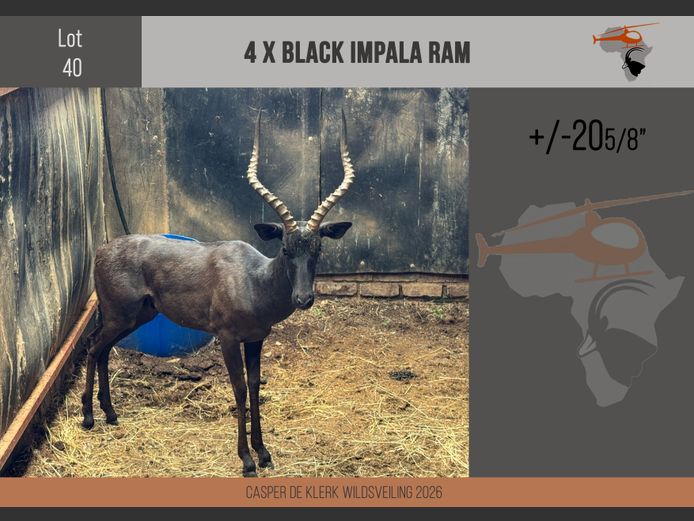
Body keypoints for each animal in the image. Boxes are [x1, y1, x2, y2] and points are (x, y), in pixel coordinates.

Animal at [81, 110, 355, 476]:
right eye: (285, 248)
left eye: (317, 250)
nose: (303, 299)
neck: (253, 281)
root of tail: (102, 249)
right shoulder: (227, 337)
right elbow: (238, 388)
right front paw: (247, 460)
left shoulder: (256, 338)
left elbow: (254, 385)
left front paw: (264, 453)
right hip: (120, 315)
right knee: (93, 346)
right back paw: (87, 418)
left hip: (136, 316)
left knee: (102, 349)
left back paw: (110, 414)